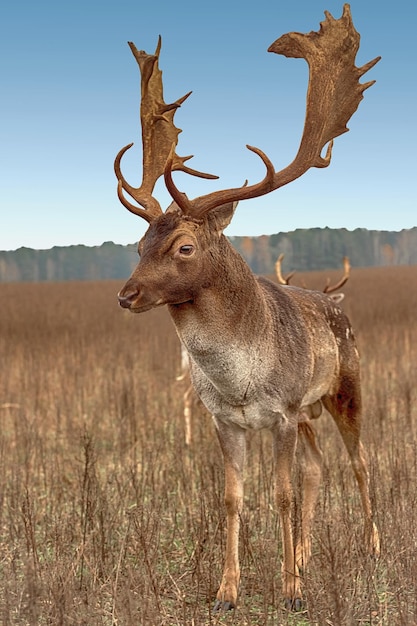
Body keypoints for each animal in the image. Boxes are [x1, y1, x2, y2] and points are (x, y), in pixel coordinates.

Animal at [114, 3, 380, 608]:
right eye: (138, 245)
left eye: (184, 247)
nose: (127, 294)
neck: (237, 379)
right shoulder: (225, 420)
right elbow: (233, 498)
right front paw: (227, 590)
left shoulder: (280, 413)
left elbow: (281, 494)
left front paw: (292, 592)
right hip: (309, 414)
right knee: (318, 468)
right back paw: (305, 556)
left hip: (346, 389)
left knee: (360, 462)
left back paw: (374, 549)